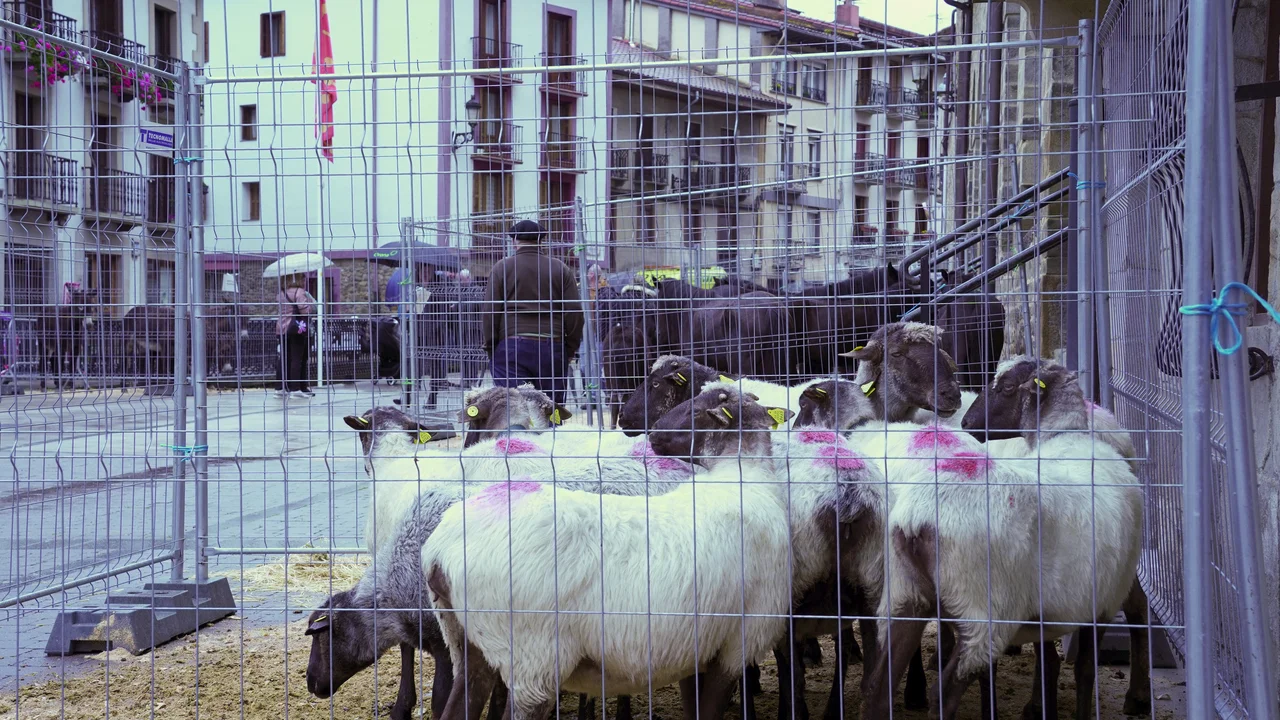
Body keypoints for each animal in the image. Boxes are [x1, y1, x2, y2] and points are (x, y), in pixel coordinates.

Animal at [425, 385, 878, 720]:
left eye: (698, 409)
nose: (649, 433)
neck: (744, 478)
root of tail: (440, 552)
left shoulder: (697, 648)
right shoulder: (736, 644)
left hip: (468, 643)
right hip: (532, 659)